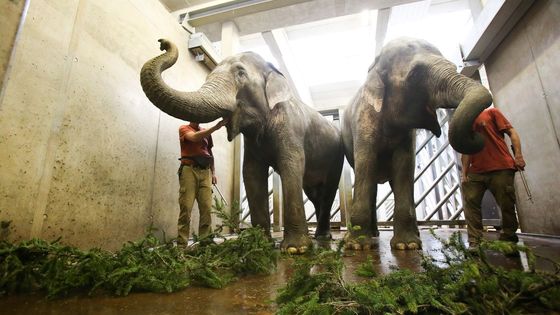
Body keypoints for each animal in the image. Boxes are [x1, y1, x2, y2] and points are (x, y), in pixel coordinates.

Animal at [140, 39, 344, 254]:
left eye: (241, 74)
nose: (162, 43)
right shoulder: (252, 142)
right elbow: (251, 173)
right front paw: (260, 244)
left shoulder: (290, 126)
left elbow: (290, 166)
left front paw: (295, 249)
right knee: (314, 194)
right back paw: (320, 234)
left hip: (336, 157)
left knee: (328, 190)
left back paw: (322, 236)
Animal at [342, 37, 490, 252]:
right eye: (415, 75)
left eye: (455, 66)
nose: (478, 134)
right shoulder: (363, 122)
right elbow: (366, 165)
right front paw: (357, 246)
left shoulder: (406, 136)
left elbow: (404, 166)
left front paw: (407, 245)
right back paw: (373, 234)